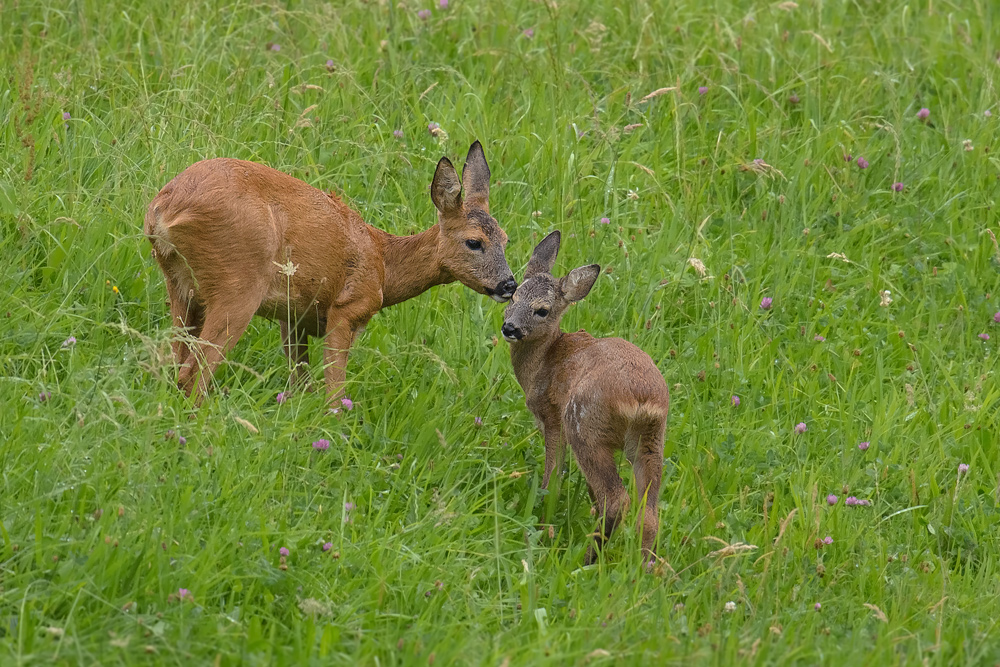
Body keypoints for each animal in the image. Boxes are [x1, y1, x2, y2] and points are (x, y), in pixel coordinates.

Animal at [146, 141, 516, 408]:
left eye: (506, 239)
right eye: (474, 242)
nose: (509, 284)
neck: (384, 264)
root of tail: (165, 210)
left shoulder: (293, 316)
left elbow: (301, 382)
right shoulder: (347, 308)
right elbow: (334, 392)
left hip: (180, 285)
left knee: (175, 363)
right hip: (237, 282)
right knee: (193, 372)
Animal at [500, 232, 672, 568]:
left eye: (543, 310)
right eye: (513, 297)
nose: (510, 327)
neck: (544, 362)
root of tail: (641, 398)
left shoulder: (552, 418)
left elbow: (552, 478)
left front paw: (543, 522)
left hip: (584, 424)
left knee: (617, 498)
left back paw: (587, 559)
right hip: (651, 439)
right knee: (649, 510)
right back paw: (643, 566)